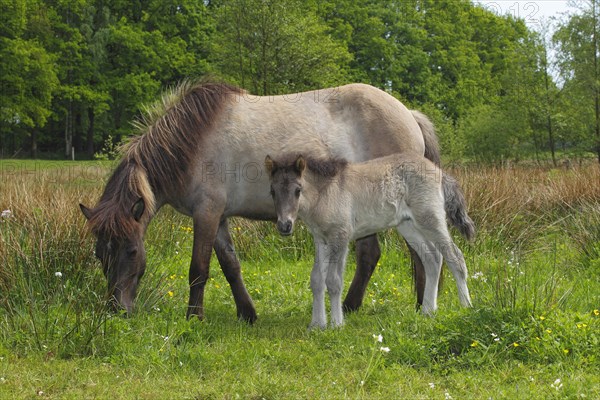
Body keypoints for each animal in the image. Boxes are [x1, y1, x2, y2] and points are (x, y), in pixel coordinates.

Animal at [266, 153, 474, 328]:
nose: (284, 226)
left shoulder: (340, 237)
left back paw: (466, 307)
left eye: (298, 190)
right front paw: (316, 325)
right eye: (273, 191)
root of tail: (439, 171)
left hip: (431, 219)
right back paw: (428, 311)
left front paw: (336, 324)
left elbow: (333, 281)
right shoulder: (321, 240)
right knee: (433, 258)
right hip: (408, 226)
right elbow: (317, 279)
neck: (325, 193)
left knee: (455, 257)